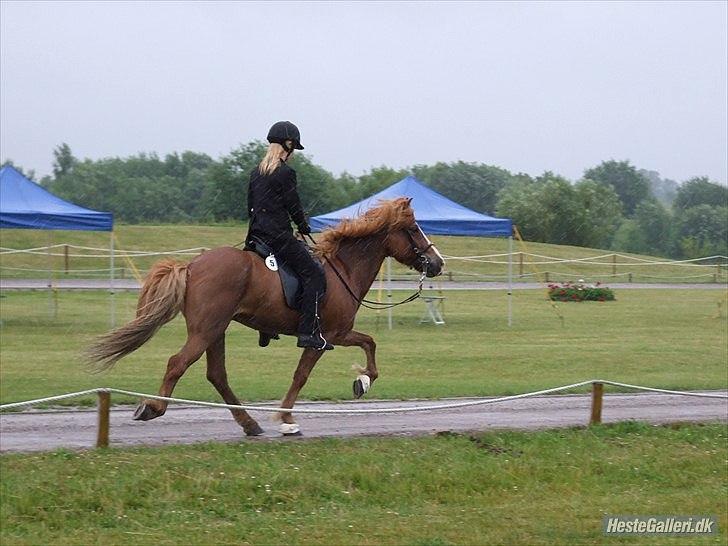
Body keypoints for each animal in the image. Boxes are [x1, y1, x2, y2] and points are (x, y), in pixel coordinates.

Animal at [88, 197, 446, 434]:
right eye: (413, 229)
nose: (437, 263)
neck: (342, 269)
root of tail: (191, 266)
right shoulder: (327, 336)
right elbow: (302, 375)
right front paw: (287, 418)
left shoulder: (339, 334)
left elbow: (369, 343)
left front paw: (363, 381)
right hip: (205, 331)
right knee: (178, 363)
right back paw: (153, 407)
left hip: (215, 331)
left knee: (217, 375)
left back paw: (249, 423)